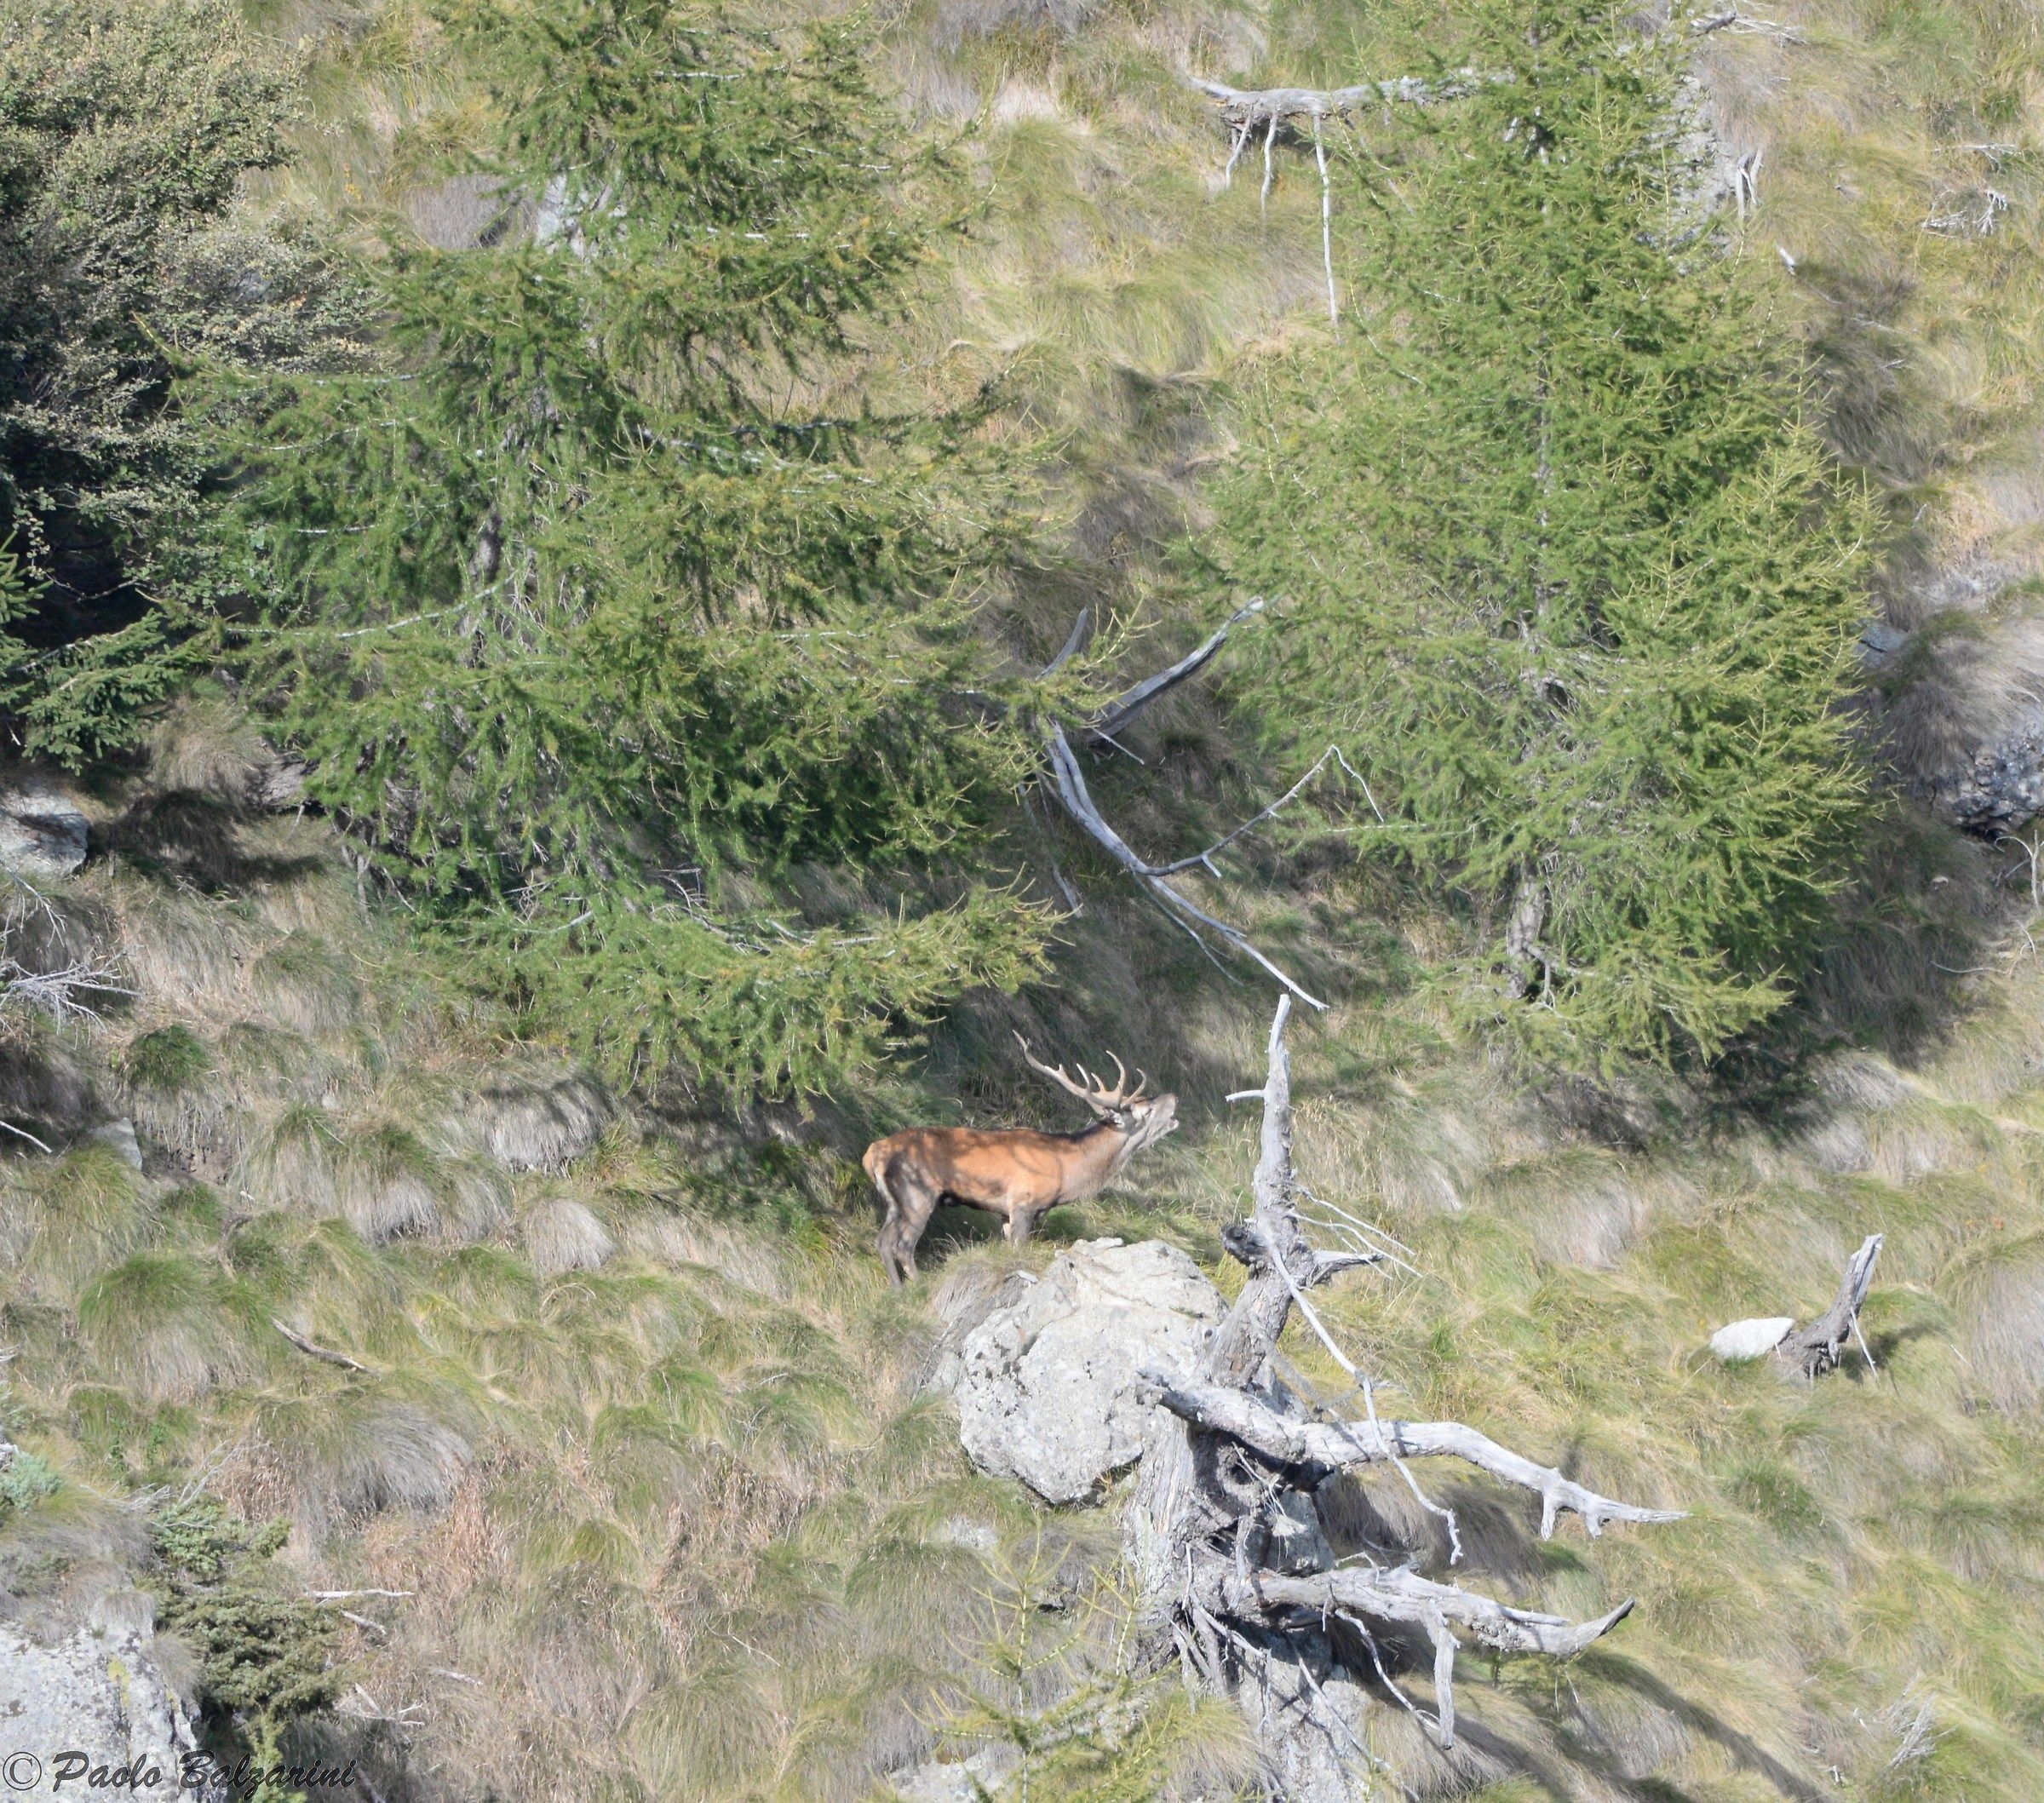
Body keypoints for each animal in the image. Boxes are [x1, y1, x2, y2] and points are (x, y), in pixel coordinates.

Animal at [862, 1035, 1179, 1285]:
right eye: (1147, 1110)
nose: (1174, 1096)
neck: (1068, 1170)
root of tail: (873, 1153)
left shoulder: (1006, 1212)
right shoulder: (1024, 1202)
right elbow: (1020, 1250)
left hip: (896, 1200)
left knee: (883, 1241)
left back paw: (898, 1291)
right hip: (917, 1192)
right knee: (903, 1246)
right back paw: (918, 1286)